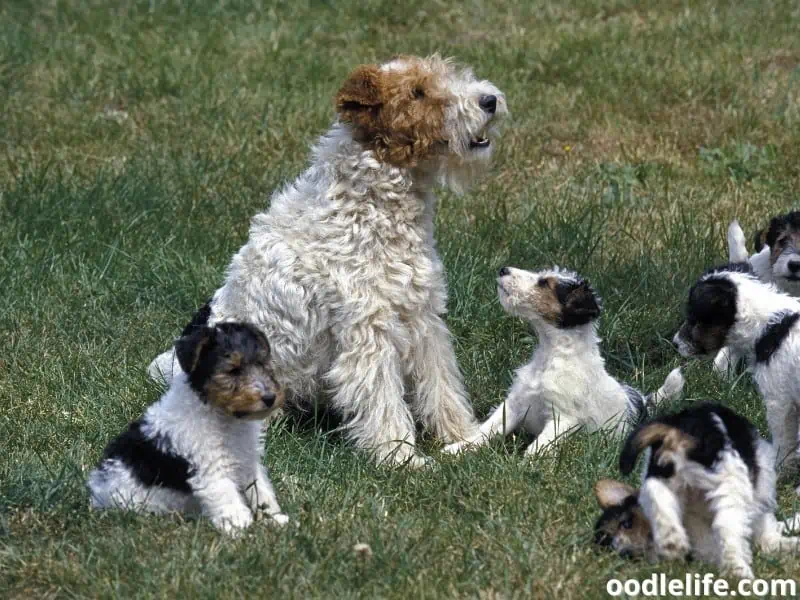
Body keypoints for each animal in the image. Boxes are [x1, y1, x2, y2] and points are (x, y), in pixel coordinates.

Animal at [89, 324, 290, 536]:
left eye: (262, 363)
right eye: (233, 370)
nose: (270, 398)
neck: (224, 417)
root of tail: (96, 489)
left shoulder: (248, 460)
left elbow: (261, 491)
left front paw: (273, 518)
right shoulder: (211, 466)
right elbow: (227, 497)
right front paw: (239, 528)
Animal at [440, 268, 684, 454]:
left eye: (544, 283)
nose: (503, 270)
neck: (551, 354)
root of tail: (643, 400)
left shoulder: (563, 417)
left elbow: (538, 446)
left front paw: (524, 465)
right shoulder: (516, 403)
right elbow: (488, 429)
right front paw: (457, 449)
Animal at [592, 400, 800, 580]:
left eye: (626, 524)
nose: (626, 552)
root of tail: (677, 428)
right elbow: (769, 538)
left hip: (665, 474)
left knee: (656, 491)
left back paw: (670, 536)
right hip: (729, 480)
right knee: (727, 527)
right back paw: (736, 571)